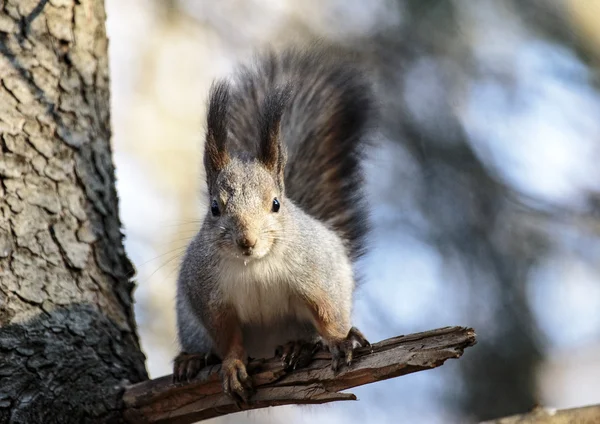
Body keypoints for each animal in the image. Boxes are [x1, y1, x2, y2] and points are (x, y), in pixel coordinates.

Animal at [171, 46, 376, 400]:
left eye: (276, 204)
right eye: (214, 208)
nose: (247, 241)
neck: (254, 265)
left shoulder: (317, 273)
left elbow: (327, 312)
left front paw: (339, 339)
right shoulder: (207, 293)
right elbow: (227, 337)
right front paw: (233, 365)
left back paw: (300, 346)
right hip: (190, 322)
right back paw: (192, 358)